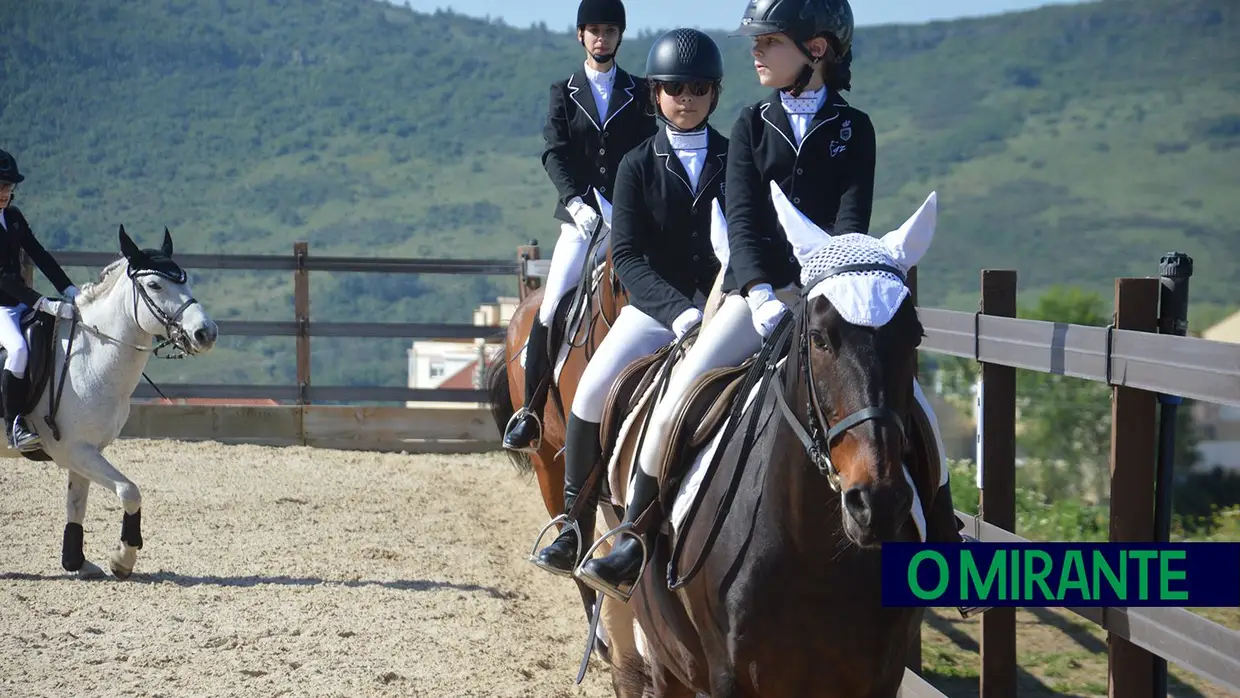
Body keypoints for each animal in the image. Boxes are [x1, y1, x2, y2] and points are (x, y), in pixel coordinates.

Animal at [8, 224, 218, 580]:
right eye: (154, 284)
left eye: (186, 280)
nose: (206, 332)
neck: (88, 355)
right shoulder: (72, 449)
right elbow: (129, 491)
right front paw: (123, 557)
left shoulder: (86, 450)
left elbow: (77, 504)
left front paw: (76, 562)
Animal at [600, 187, 957, 698]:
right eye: (820, 338)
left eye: (914, 335)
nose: (878, 503)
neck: (816, 558)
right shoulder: (730, 677)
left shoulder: (879, 677)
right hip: (667, 656)